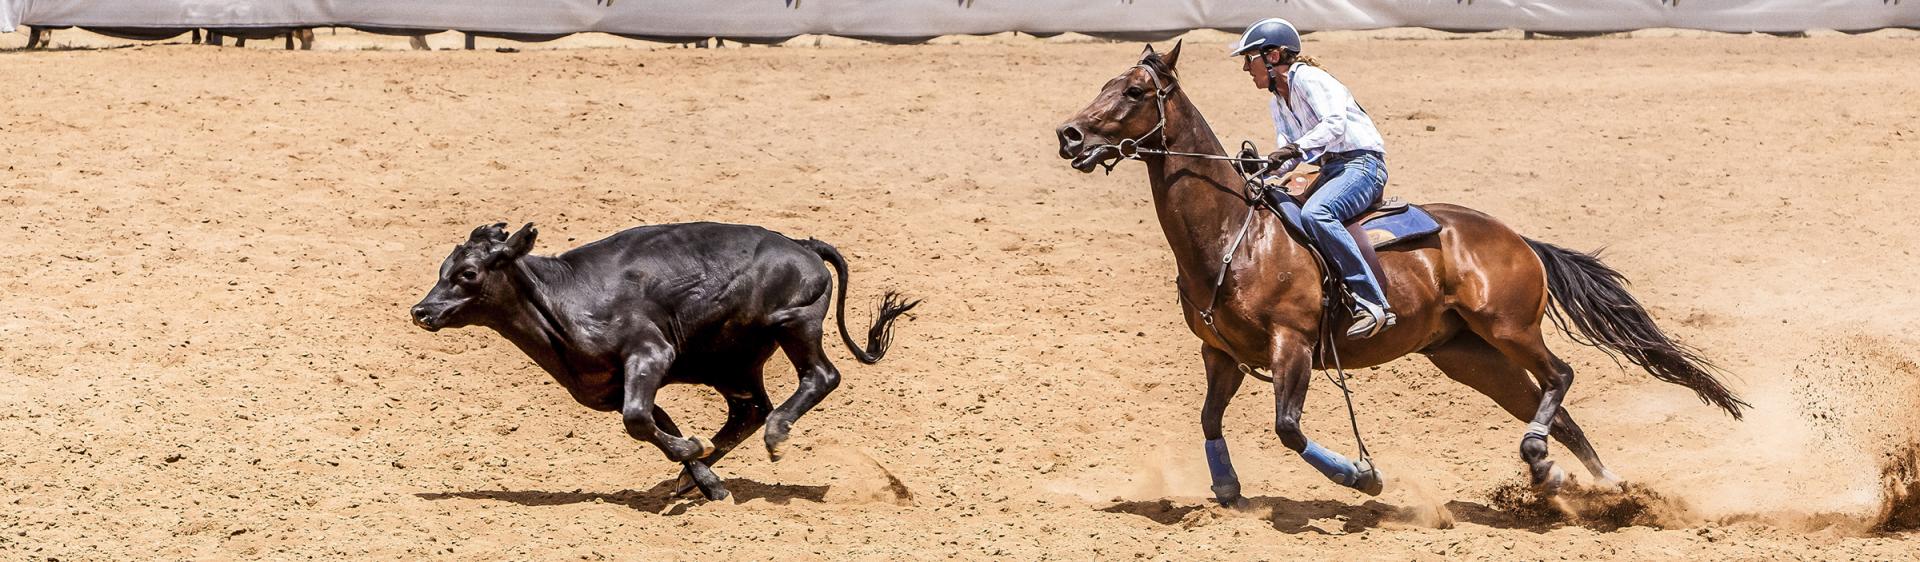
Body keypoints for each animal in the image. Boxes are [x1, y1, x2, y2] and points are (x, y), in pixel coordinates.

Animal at [408, 220, 917, 494]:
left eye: (468, 273)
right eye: (442, 269)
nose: (421, 311)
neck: (565, 298)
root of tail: (803, 246)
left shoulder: (650, 355)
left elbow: (638, 421)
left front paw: (693, 452)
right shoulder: (615, 386)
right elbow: (656, 424)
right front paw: (704, 478)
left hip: (795, 324)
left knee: (818, 378)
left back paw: (778, 436)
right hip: (732, 363)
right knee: (749, 411)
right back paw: (695, 478)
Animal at [1059, 41, 1751, 506]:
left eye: (1135, 93)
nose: (1069, 135)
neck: (1237, 235)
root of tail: (1515, 238)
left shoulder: (1293, 346)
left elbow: (1288, 429)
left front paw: (1361, 476)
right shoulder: (1220, 353)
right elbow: (1209, 420)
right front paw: (1228, 489)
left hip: (1507, 328)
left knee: (1561, 376)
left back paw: (1548, 462)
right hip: (1466, 354)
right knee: (1552, 408)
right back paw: (1591, 484)